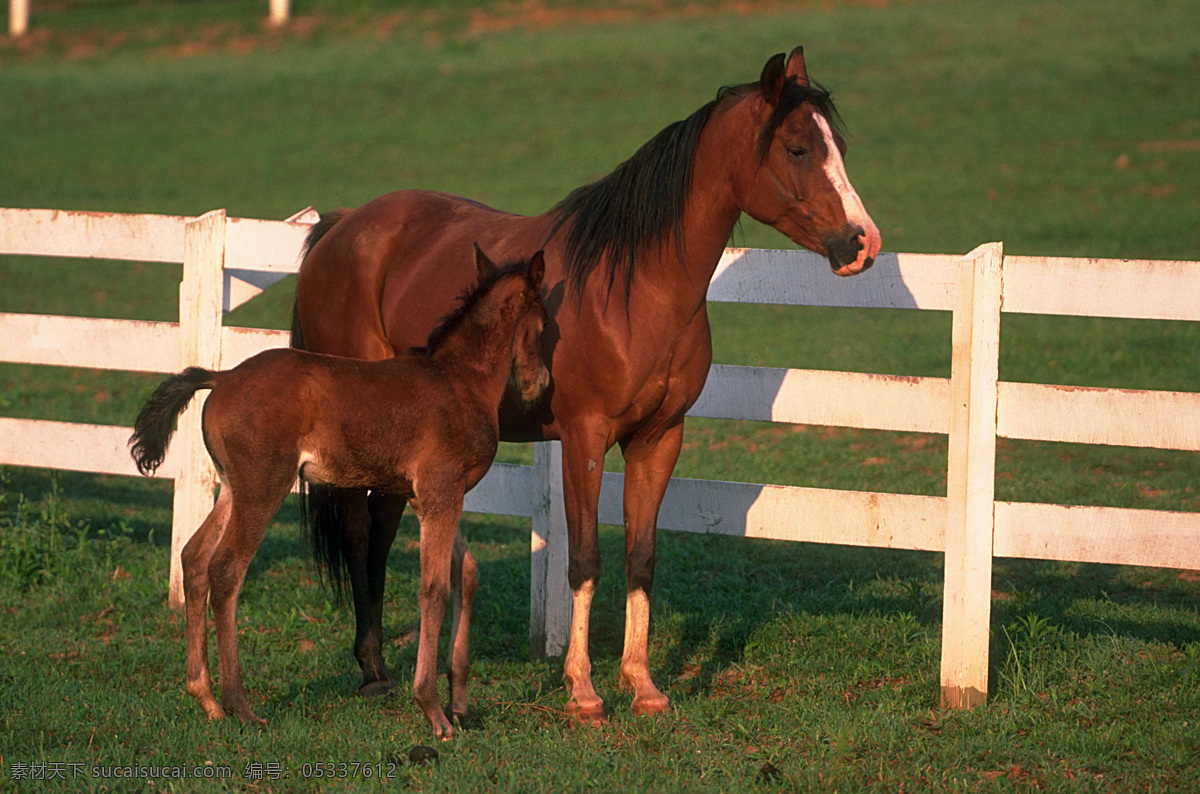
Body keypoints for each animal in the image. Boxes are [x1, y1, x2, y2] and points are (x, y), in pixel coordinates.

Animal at [130, 248, 548, 738]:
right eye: (544, 322)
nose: (539, 385)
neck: (461, 379)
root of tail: (223, 376)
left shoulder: (434, 497)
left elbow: (466, 574)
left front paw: (459, 700)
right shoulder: (441, 493)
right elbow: (435, 590)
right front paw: (433, 711)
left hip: (235, 488)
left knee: (195, 557)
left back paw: (207, 698)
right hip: (263, 488)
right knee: (226, 569)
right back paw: (240, 705)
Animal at [293, 46, 881, 724]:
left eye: (838, 144)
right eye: (797, 148)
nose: (863, 243)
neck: (637, 287)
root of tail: (341, 229)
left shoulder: (659, 439)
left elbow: (640, 558)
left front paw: (643, 684)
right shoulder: (584, 439)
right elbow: (584, 559)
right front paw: (583, 690)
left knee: (381, 530)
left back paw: (380, 667)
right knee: (361, 532)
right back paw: (371, 673)